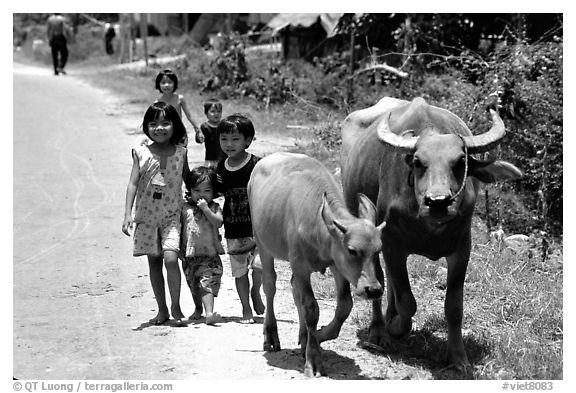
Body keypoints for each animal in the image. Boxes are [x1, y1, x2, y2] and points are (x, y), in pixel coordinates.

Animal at [249, 152, 388, 376]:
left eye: (378, 250)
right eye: (352, 250)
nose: (374, 289)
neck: (316, 222)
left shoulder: (337, 266)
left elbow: (344, 306)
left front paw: (316, 337)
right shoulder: (300, 265)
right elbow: (311, 308)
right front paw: (312, 358)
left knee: (294, 290)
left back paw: (303, 335)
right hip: (262, 243)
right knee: (270, 285)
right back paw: (270, 334)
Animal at [340, 96, 524, 370]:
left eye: (460, 162)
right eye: (418, 162)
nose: (438, 202)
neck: (429, 228)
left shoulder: (461, 250)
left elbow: (454, 307)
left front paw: (458, 357)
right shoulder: (393, 245)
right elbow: (407, 301)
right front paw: (395, 327)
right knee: (378, 280)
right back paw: (379, 330)